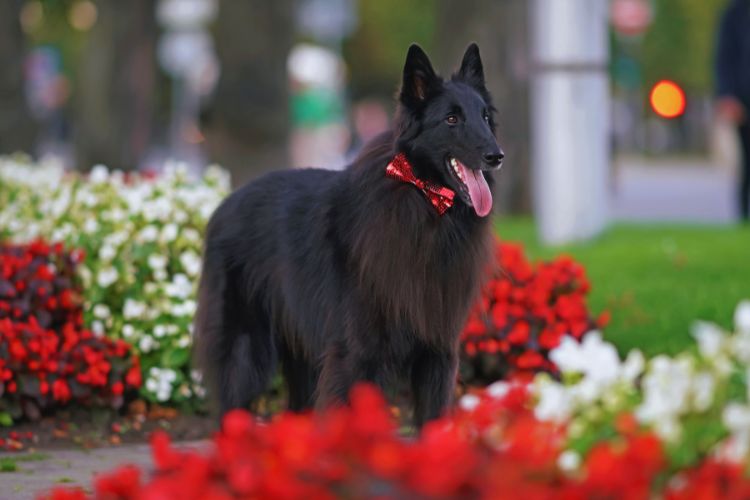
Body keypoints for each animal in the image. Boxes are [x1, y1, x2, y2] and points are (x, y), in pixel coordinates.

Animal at [197, 44, 506, 426]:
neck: (423, 201)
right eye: (452, 119)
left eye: (486, 118)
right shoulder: (357, 356)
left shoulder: (438, 351)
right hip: (245, 352)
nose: (496, 156)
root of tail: (223, 205)